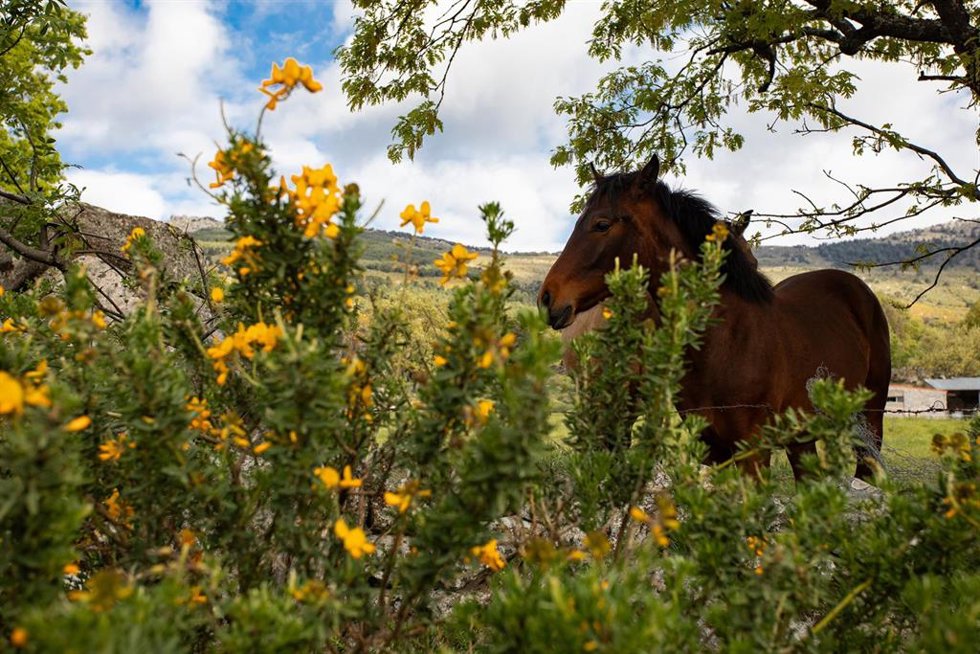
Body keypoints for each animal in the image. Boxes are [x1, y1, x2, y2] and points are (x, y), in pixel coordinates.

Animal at [538, 155, 891, 482]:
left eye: (601, 224)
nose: (547, 298)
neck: (725, 338)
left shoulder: (753, 452)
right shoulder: (711, 449)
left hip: (868, 422)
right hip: (801, 438)